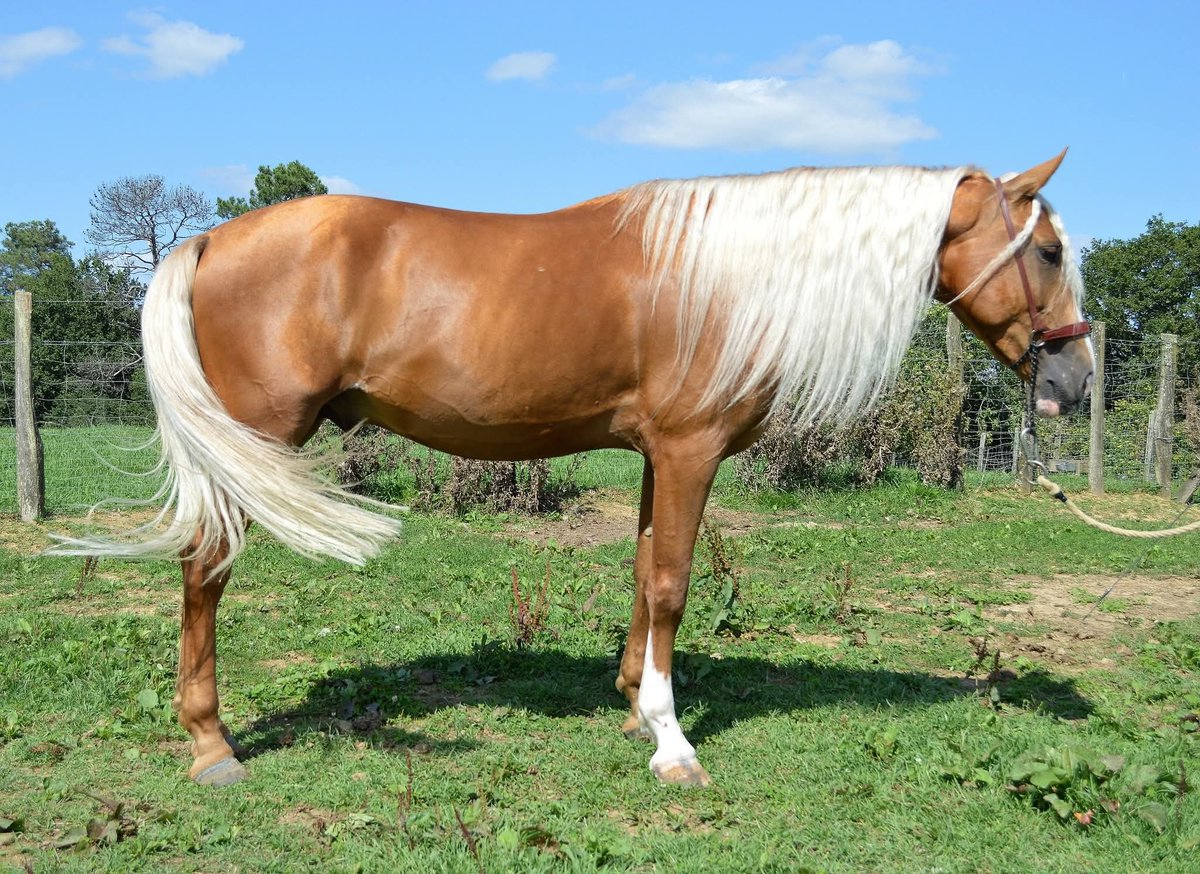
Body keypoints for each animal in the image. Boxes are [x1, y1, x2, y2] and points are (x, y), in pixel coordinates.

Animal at [53, 152, 1094, 788]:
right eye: (1045, 250)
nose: (1076, 381)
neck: (724, 278)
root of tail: (210, 238)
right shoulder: (690, 450)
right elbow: (673, 584)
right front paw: (673, 743)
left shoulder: (658, 456)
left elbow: (642, 572)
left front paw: (636, 708)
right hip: (255, 442)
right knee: (204, 571)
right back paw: (211, 745)